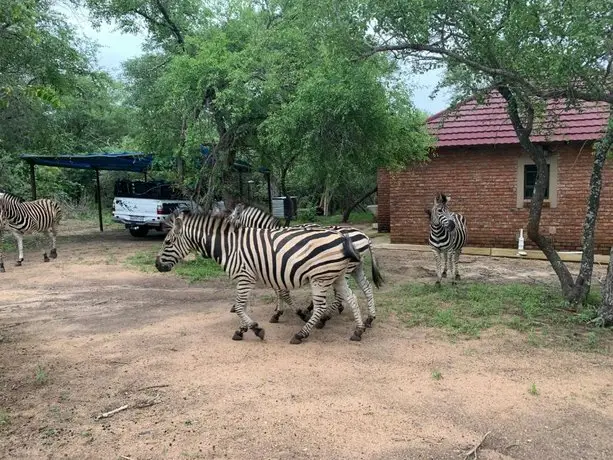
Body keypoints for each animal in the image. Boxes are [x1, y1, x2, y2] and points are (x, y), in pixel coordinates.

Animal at [155, 210, 370, 344]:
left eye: (167, 242)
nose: (157, 265)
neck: (229, 247)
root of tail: (343, 237)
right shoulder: (251, 277)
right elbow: (244, 305)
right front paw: (242, 330)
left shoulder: (244, 276)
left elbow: (241, 306)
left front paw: (255, 329)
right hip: (336, 275)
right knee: (351, 297)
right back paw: (358, 330)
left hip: (321, 277)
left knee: (321, 306)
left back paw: (301, 334)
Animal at [228, 203, 382, 328]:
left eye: (232, 218)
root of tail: (365, 236)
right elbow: (279, 291)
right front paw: (279, 310)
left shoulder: (277, 267)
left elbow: (280, 292)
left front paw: (279, 312)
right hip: (355, 268)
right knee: (366, 288)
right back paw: (369, 318)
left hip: (346, 269)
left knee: (341, 294)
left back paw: (325, 317)